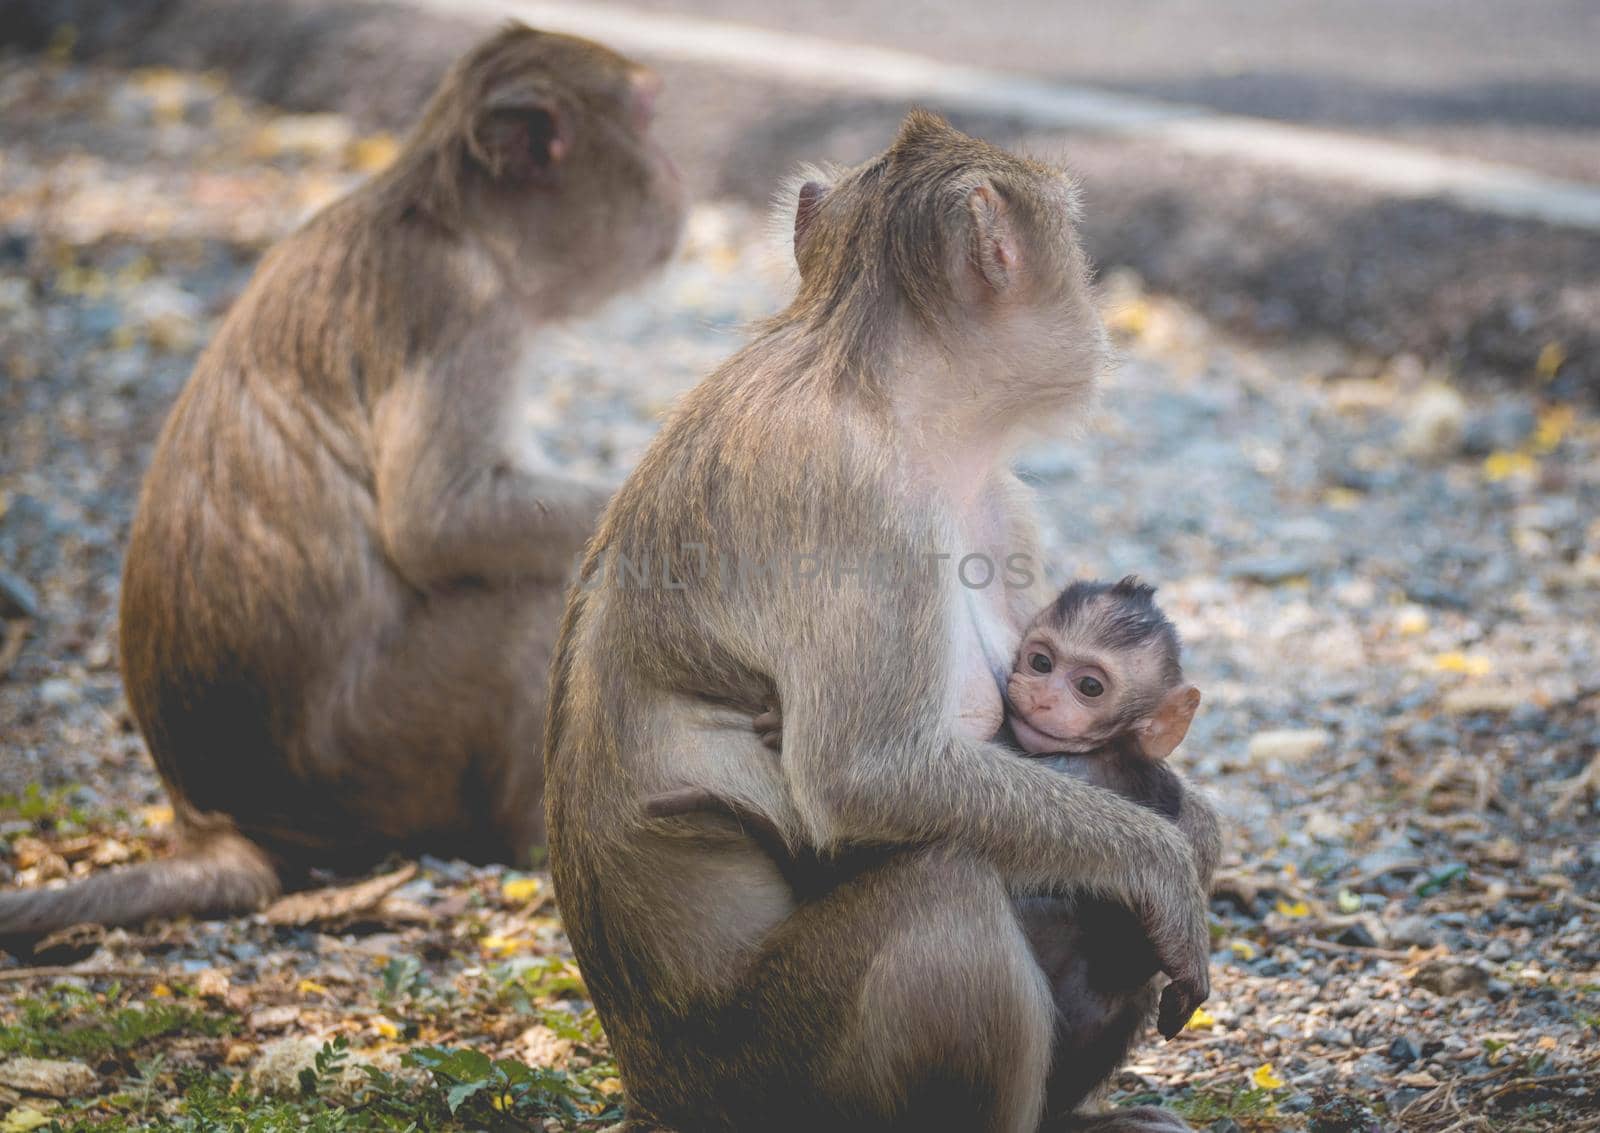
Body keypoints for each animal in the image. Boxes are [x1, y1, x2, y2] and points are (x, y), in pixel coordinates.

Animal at [0, 24, 681, 940]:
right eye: (645, 120)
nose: (678, 176)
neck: (454, 222)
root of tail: (209, 818)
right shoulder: (463, 309)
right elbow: (438, 521)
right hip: (380, 750)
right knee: (530, 595)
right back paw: (529, 838)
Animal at [550, 108, 1209, 1133]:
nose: (1095, 313)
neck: (875, 388)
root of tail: (652, 1090)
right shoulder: (855, 506)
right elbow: (863, 776)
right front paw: (1170, 865)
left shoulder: (997, 501)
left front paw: (1197, 830)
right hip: (771, 1075)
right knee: (947, 898)